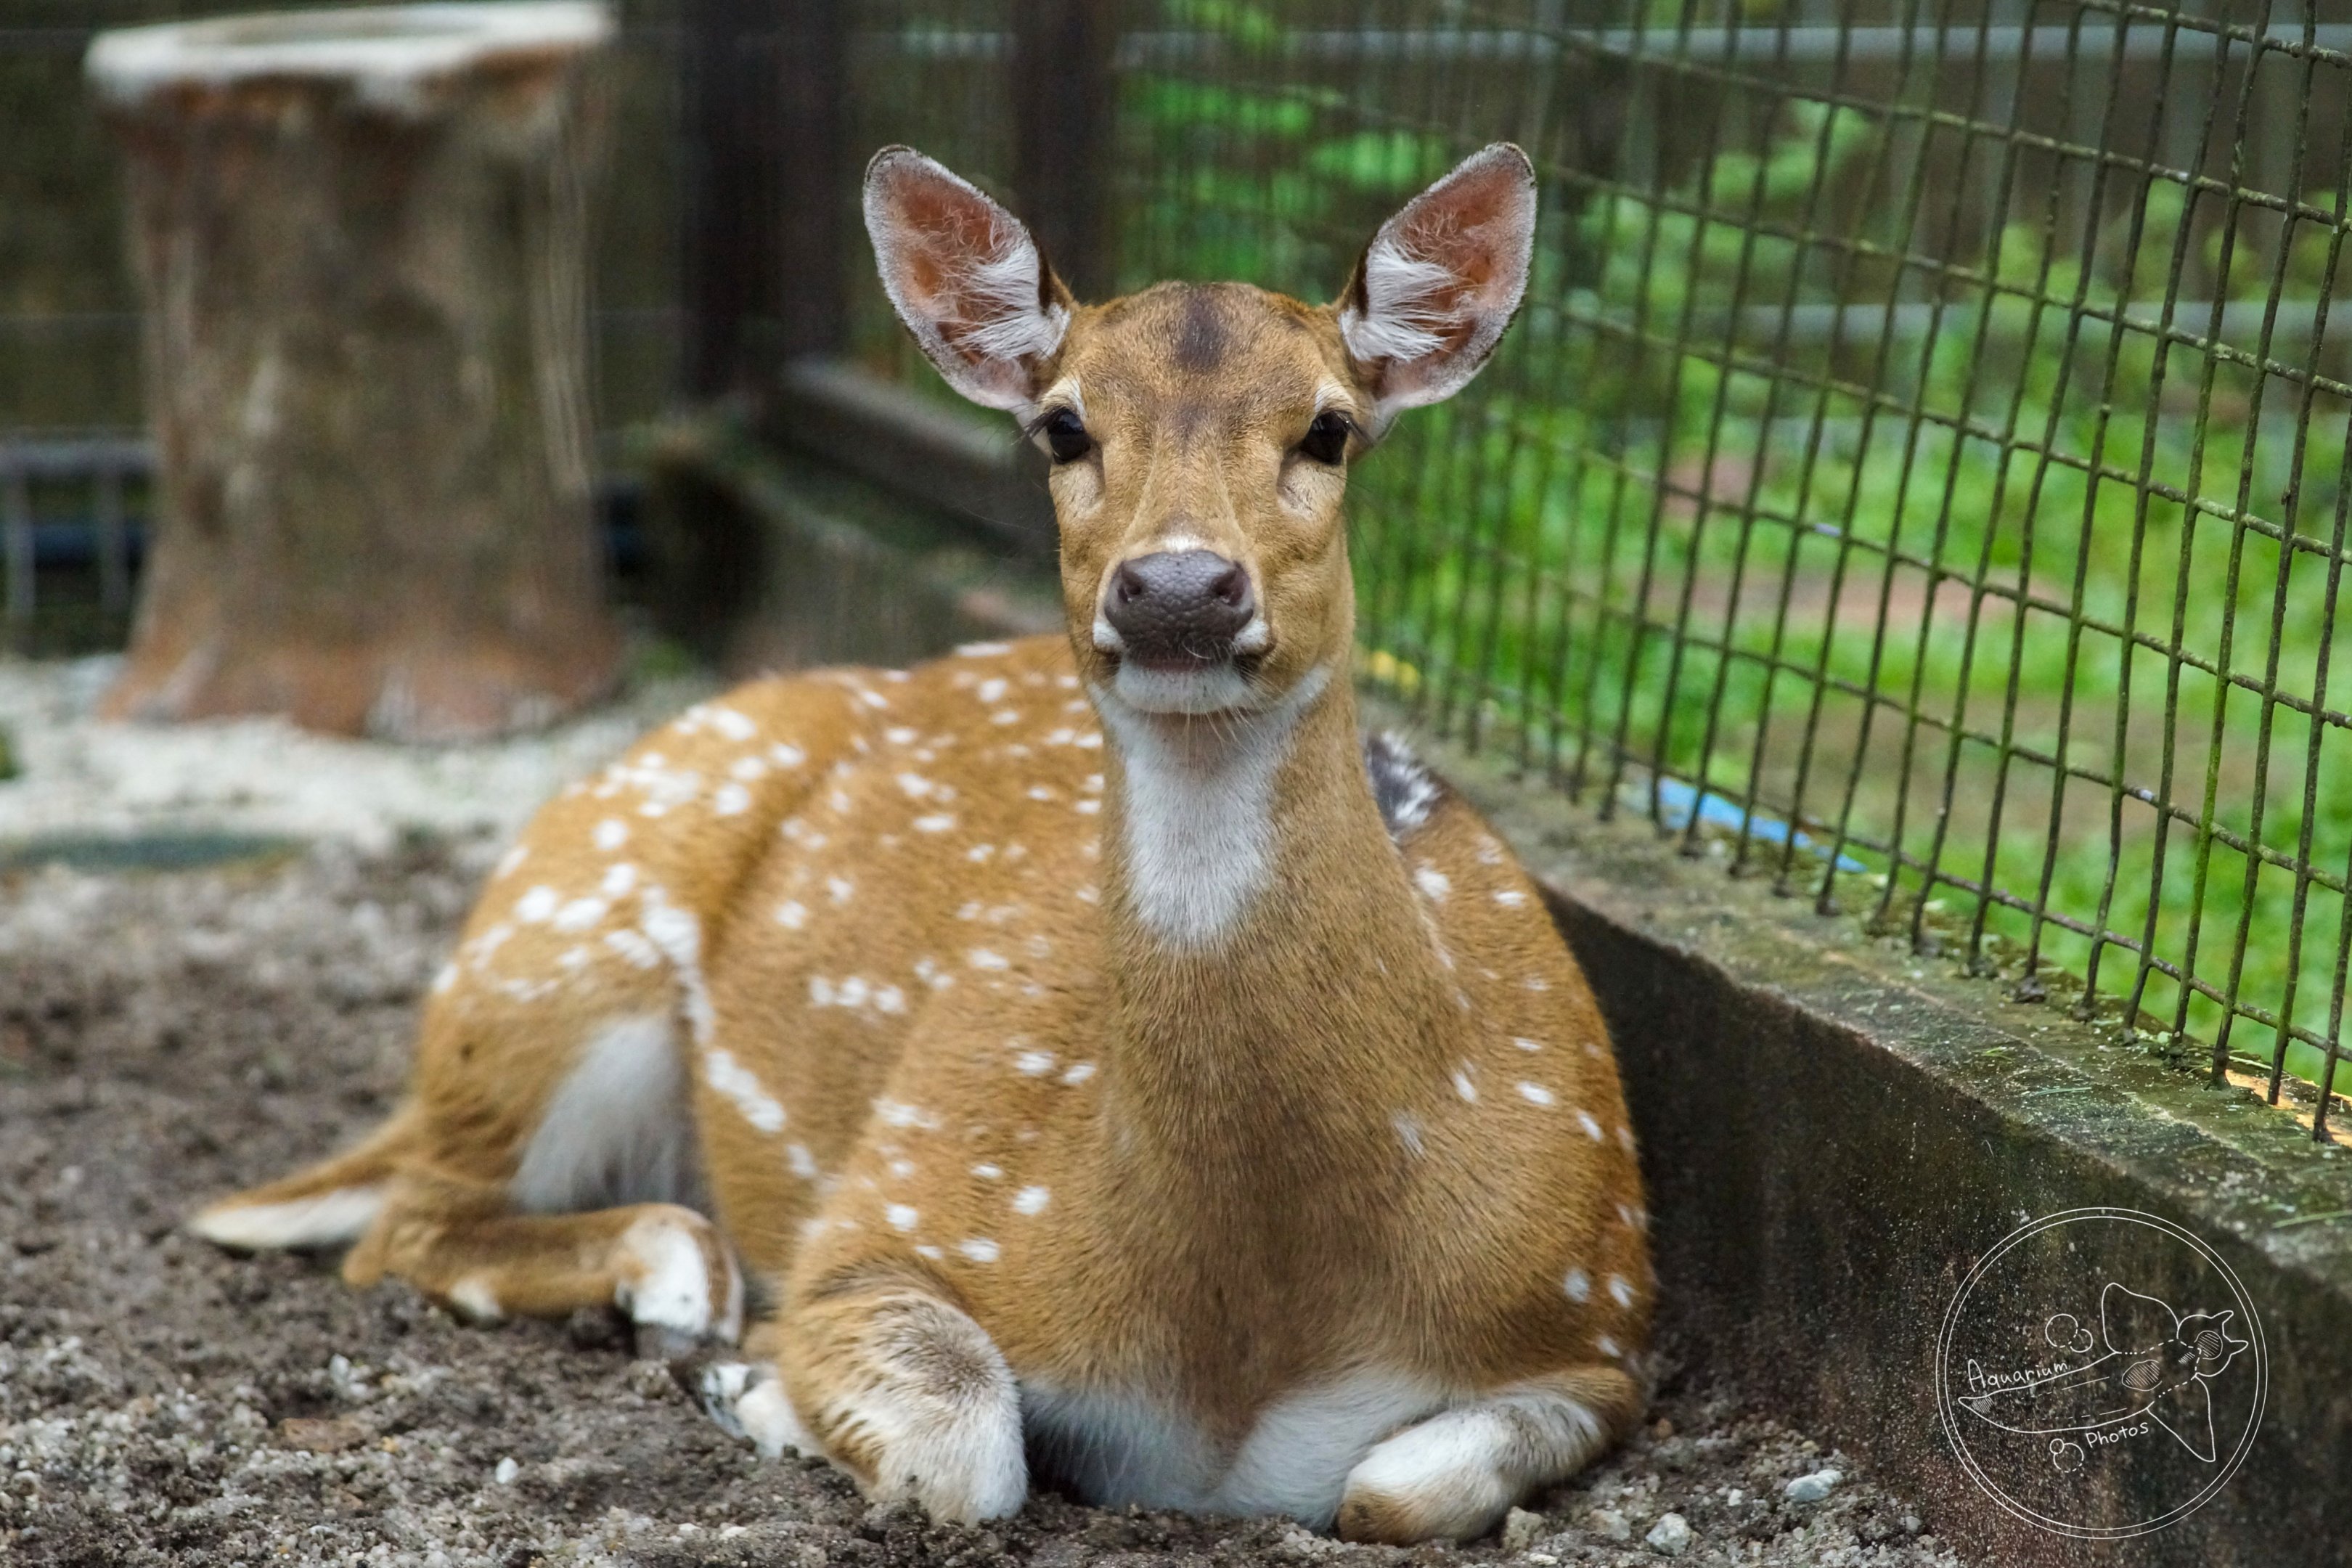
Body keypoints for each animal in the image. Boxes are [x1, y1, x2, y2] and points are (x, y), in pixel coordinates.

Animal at [187, 142, 1654, 1543]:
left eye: (1331, 428)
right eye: (1063, 427)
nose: (1179, 588)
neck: (1239, 1339)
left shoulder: (1601, 1317)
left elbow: (1393, 1489)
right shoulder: (891, 1207)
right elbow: (964, 1442)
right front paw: (760, 1385)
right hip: (556, 945)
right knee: (401, 1222)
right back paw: (684, 1295)